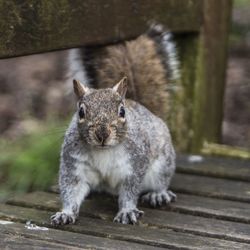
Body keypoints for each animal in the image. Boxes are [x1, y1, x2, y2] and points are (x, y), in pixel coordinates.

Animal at [50, 24, 179, 226]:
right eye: (81, 112)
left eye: (122, 112)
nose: (102, 134)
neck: (103, 151)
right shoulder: (74, 166)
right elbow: (71, 190)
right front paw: (66, 213)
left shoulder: (134, 165)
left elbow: (129, 192)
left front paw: (127, 211)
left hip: (162, 164)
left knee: (161, 180)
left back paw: (158, 194)